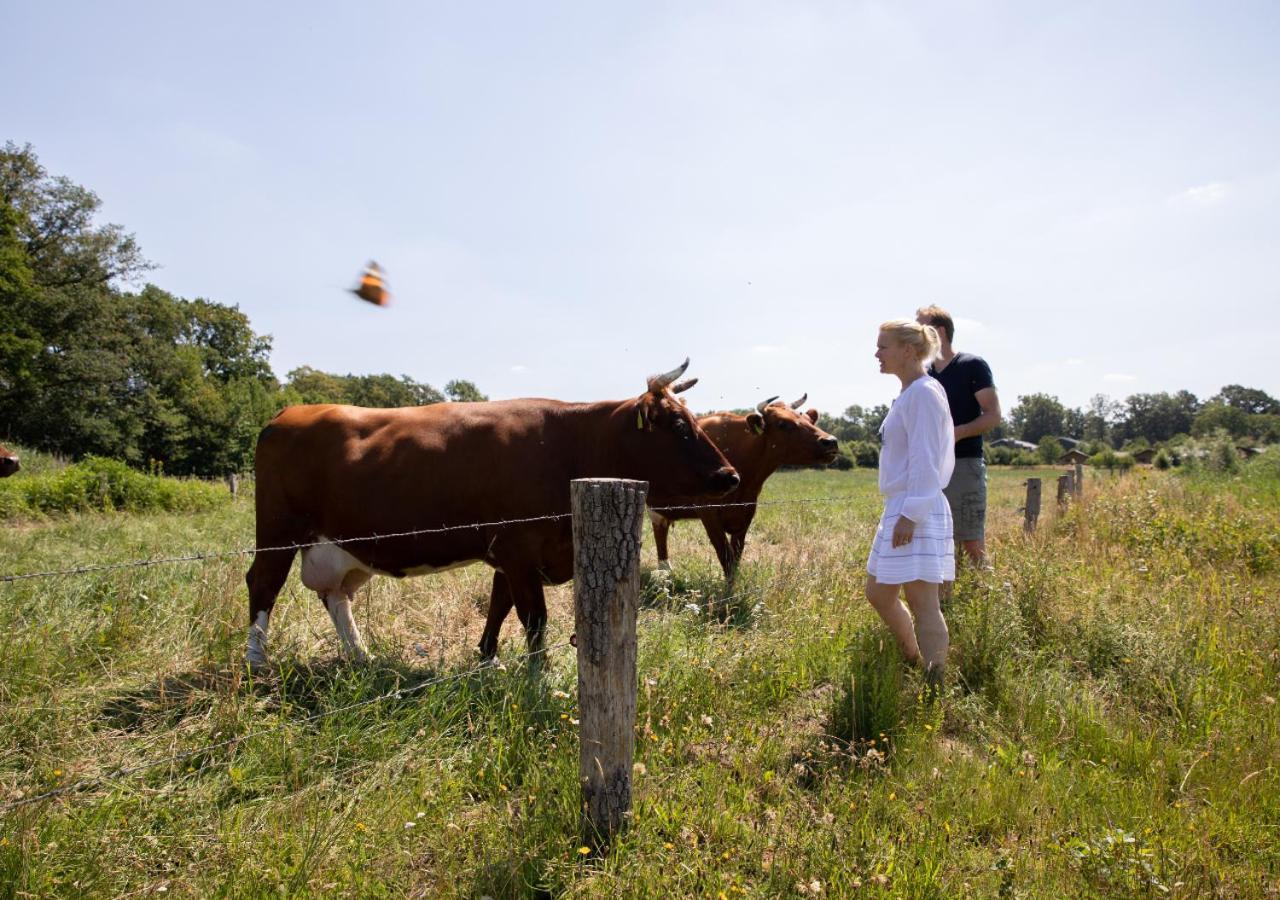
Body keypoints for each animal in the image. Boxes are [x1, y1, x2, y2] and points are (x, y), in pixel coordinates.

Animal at [244, 361, 742, 670]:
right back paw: (256, 662)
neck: (571, 445)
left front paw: (486, 656)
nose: (730, 475)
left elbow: (499, 606)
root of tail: (287, 413)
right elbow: (533, 617)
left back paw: (362, 658)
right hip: (278, 531)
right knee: (263, 583)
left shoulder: (510, 552)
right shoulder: (519, 548)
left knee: (335, 596)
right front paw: (538, 674)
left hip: (344, 547)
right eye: (678, 426)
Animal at [650, 396, 839, 581]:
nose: (830, 441)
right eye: (783, 423)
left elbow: (736, 558)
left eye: (809, 420)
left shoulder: (746, 512)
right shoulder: (707, 511)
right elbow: (725, 556)